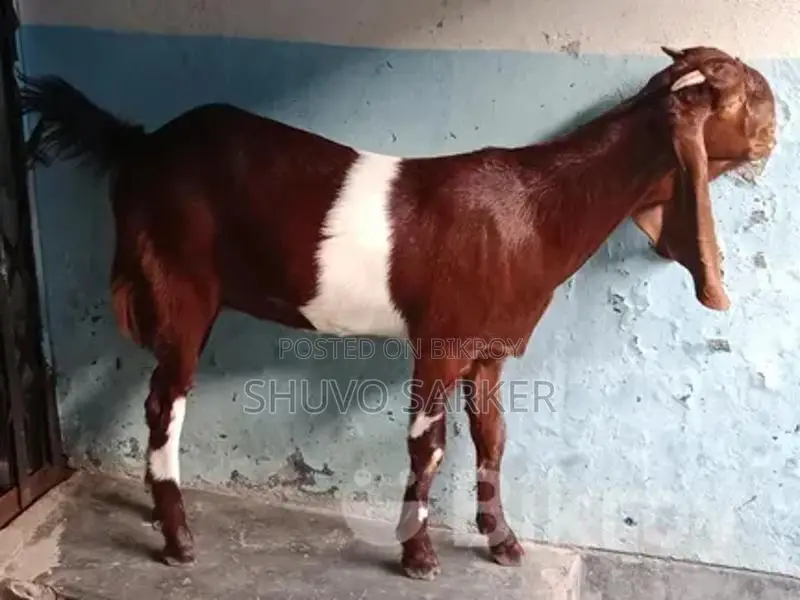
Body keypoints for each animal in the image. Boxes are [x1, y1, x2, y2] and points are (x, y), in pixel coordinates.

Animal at [18, 45, 776, 581]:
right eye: (749, 94)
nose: (774, 135)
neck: (538, 208)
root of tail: (142, 143)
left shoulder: (489, 350)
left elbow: (493, 440)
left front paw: (503, 543)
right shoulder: (439, 341)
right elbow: (428, 443)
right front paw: (418, 557)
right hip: (182, 288)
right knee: (162, 403)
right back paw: (178, 539)